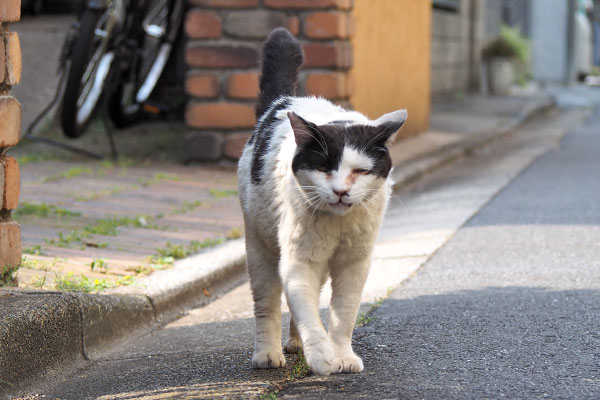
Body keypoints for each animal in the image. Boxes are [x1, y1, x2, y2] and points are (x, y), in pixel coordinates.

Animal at [237, 28, 406, 376]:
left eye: (360, 170)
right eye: (324, 167)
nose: (340, 191)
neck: (339, 224)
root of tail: (281, 102)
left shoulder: (354, 262)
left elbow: (344, 313)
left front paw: (342, 355)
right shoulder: (300, 260)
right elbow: (304, 308)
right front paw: (321, 356)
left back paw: (295, 342)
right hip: (260, 247)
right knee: (267, 302)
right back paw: (268, 354)